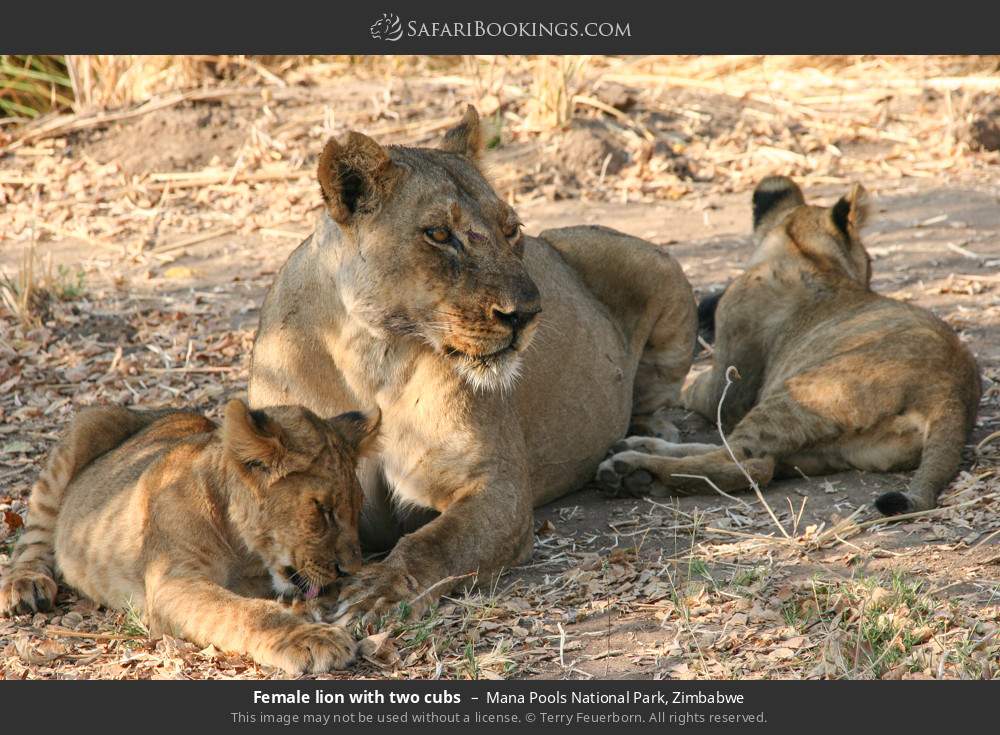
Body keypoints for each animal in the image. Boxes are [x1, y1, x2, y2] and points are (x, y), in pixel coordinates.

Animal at [0, 400, 380, 674]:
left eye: (357, 506)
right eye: (322, 508)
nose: (351, 570)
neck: (244, 552)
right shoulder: (173, 581)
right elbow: (247, 612)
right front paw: (310, 637)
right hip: (86, 426)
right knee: (32, 538)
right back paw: (26, 586)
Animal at [248, 105, 697, 622]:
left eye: (512, 230)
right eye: (440, 234)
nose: (526, 313)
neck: (373, 359)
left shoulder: (496, 488)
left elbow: (432, 544)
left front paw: (376, 591)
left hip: (656, 266)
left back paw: (644, 450)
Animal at [597, 176, 982, 516]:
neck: (807, 256)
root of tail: (950, 394)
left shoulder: (729, 382)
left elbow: (693, 388)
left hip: (793, 397)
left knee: (745, 464)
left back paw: (632, 470)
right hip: (823, 450)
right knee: (749, 458)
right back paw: (635, 452)